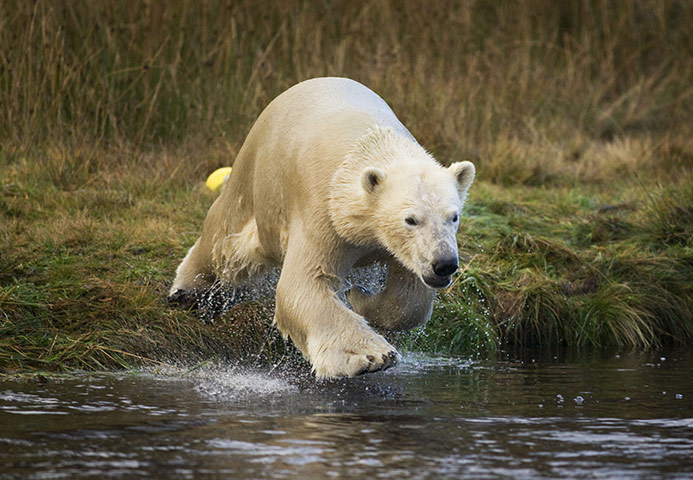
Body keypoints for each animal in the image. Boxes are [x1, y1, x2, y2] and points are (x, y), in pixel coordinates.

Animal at [170, 78, 474, 378]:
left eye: (454, 216)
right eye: (411, 219)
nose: (444, 264)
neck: (372, 144)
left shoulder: (396, 246)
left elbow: (410, 297)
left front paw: (360, 298)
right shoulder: (323, 209)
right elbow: (303, 285)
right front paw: (371, 356)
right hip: (257, 171)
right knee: (226, 238)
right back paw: (187, 291)